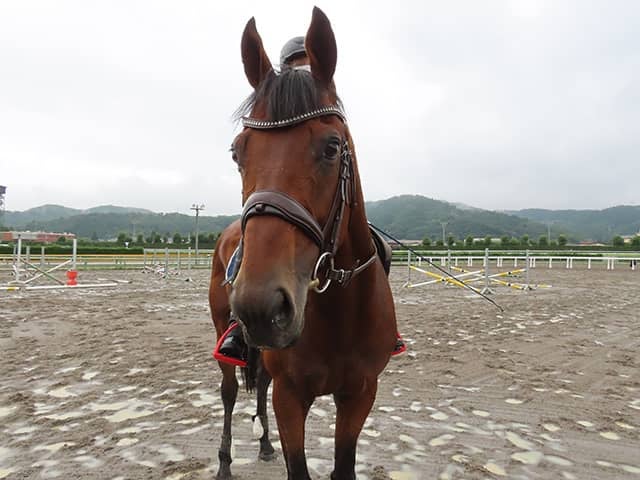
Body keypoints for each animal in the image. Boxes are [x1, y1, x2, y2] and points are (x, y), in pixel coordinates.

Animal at [209, 7, 398, 480]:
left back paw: (263, 446)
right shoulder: (291, 396)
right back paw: (225, 462)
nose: (261, 306)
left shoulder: (360, 393)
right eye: (238, 152)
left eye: (331, 147)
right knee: (229, 391)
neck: (338, 312)